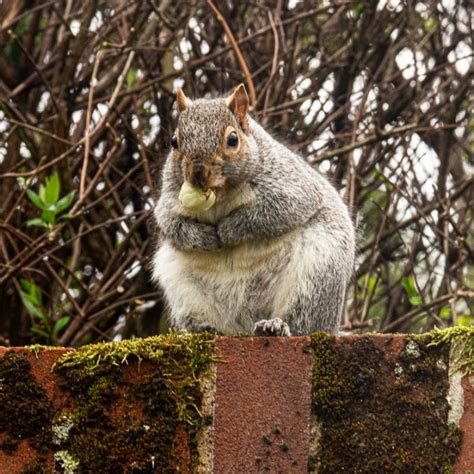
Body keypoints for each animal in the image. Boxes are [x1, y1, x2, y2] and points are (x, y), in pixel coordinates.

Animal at [150, 83, 354, 336]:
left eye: (233, 139)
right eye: (174, 141)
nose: (198, 174)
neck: (221, 196)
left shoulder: (293, 186)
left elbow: (274, 211)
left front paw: (229, 230)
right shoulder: (169, 198)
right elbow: (171, 224)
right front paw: (205, 237)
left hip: (318, 272)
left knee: (302, 322)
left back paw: (276, 326)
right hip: (183, 289)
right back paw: (206, 330)